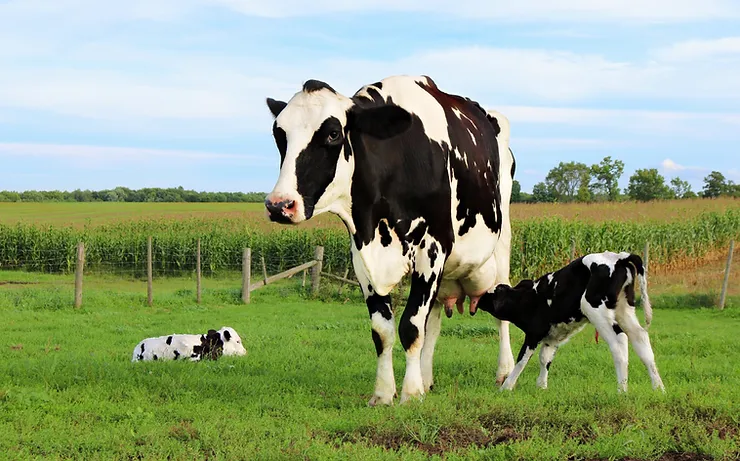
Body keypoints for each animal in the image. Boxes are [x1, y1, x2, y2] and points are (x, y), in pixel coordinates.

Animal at [263, 74, 516, 406]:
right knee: (434, 318)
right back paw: (427, 377)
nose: (279, 205)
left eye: (333, 133)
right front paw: (385, 393)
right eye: (279, 134)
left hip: (500, 243)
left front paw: (410, 393)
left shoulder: (433, 247)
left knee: (500, 308)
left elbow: (411, 326)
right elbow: (383, 330)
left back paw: (504, 372)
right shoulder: (362, 256)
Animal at [474, 251, 665, 393]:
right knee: (640, 337)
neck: (525, 299)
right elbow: (545, 359)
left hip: (596, 310)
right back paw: (658, 388)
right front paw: (541, 386)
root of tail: (619, 257)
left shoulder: (534, 333)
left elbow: (523, 358)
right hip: (625, 310)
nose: (478, 296)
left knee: (619, 342)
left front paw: (507, 386)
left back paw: (622, 390)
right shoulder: (552, 337)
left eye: (490, 295)